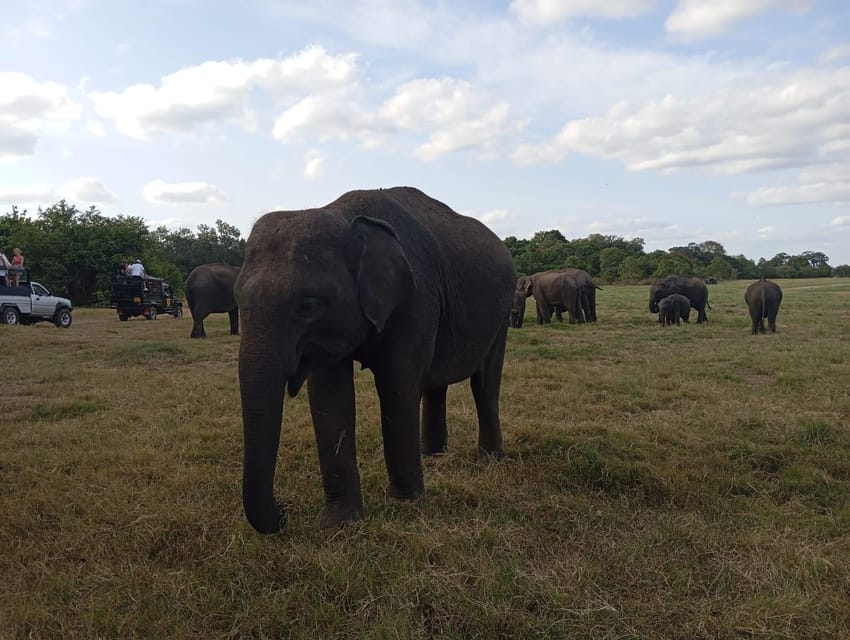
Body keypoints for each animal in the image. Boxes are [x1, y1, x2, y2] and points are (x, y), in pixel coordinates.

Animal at [235, 186, 512, 536]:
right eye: (237, 301)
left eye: (308, 306)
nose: (285, 512)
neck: (344, 215)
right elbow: (329, 397)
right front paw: (338, 523)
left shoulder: (415, 298)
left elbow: (397, 386)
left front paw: (405, 504)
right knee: (435, 383)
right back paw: (433, 456)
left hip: (503, 313)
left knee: (484, 384)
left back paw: (490, 459)